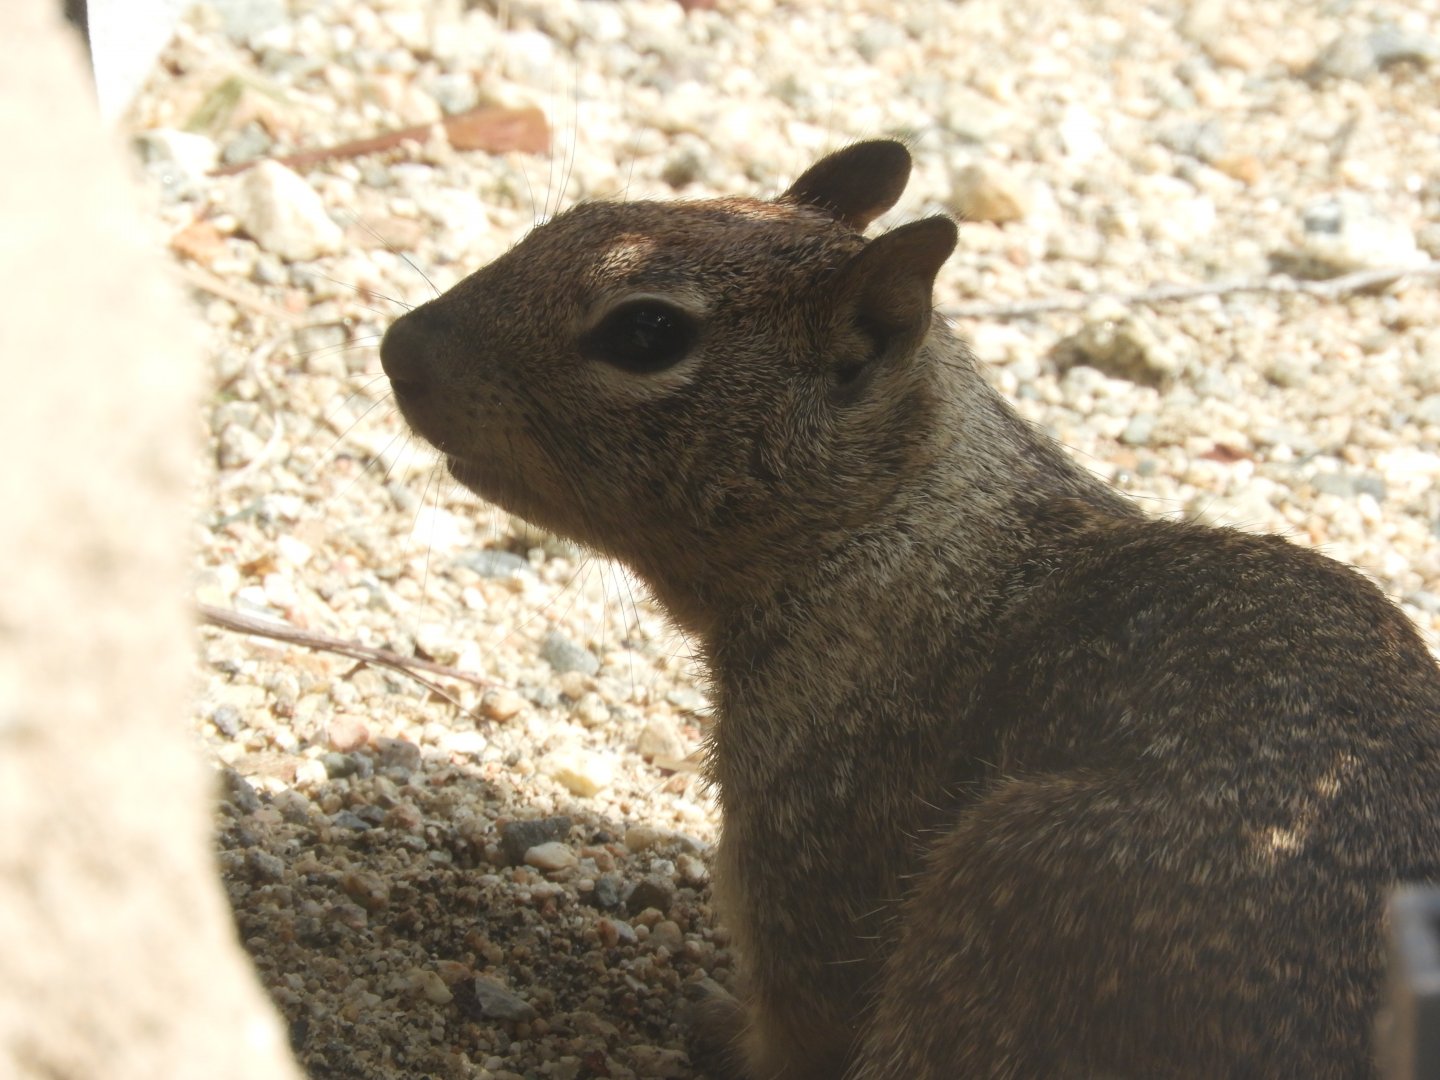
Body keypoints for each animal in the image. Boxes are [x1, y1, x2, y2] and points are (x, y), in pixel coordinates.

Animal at [379, 140, 1440, 1079]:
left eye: (646, 332)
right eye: (572, 219)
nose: (398, 347)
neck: (893, 526)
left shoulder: (805, 842)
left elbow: (797, 1032)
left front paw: (711, 1025)